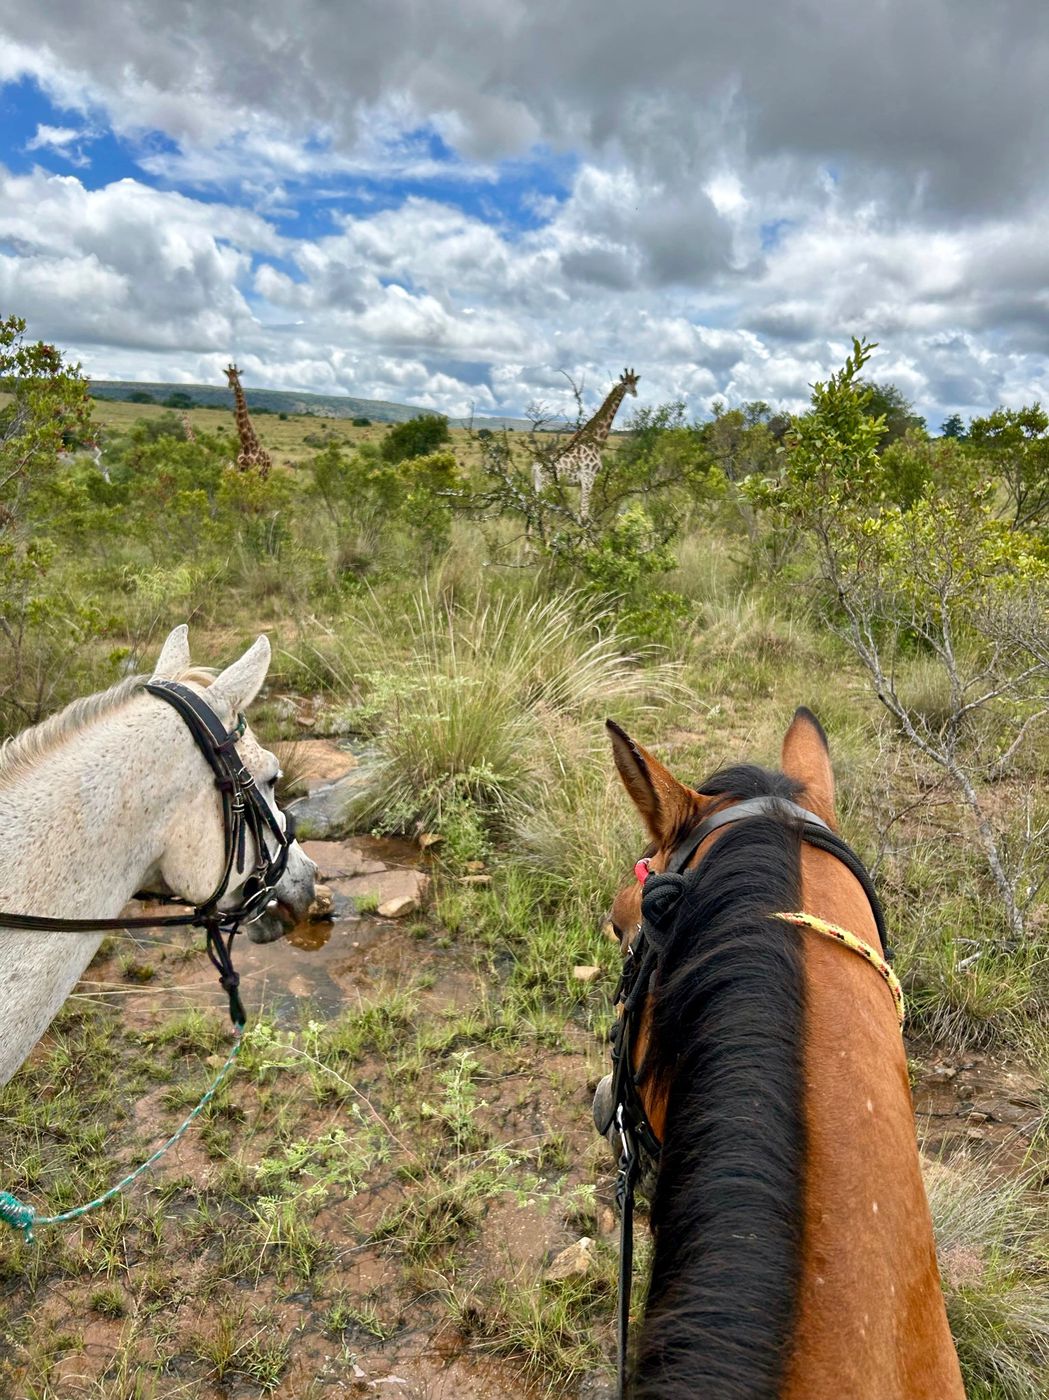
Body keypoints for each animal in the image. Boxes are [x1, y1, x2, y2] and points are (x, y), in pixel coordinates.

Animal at [532, 366, 638, 520]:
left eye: (635, 382)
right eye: (625, 383)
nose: (635, 392)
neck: (596, 440)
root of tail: (535, 465)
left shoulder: (582, 482)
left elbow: (582, 513)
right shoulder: (588, 477)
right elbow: (584, 514)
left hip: (538, 485)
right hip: (547, 484)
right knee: (543, 513)